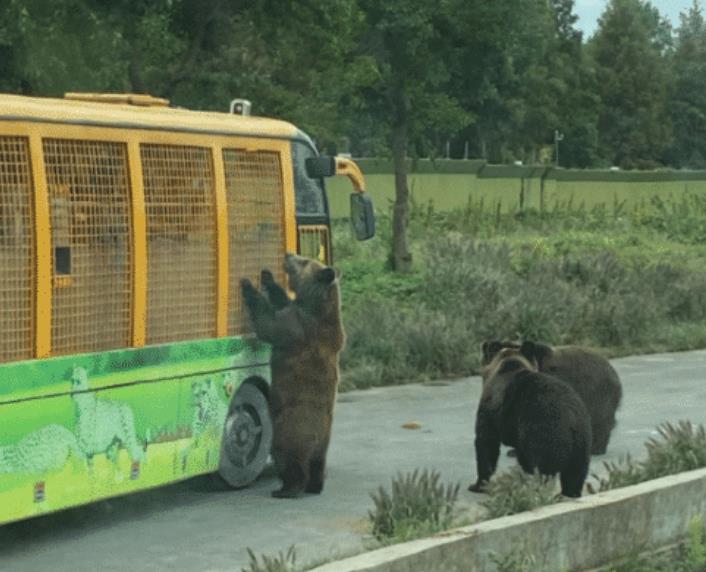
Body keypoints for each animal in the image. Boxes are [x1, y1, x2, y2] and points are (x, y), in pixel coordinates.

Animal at [239, 252, 344, 498]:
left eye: (304, 260)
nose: (288, 254)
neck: (317, 305)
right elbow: (282, 301)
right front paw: (268, 278)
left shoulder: (299, 327)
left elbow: (270, 324)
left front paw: (248, 286)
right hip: (323, 441)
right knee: (318, 463)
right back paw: (315, 485)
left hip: (291, 429)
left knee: (289, 459)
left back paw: (286, 489)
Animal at [470, 342, 592, 498]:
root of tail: (571, 420)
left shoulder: (492, 410)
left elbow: (486, 443)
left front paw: (478, 484)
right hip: (582, 443)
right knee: (575, 474)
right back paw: (569, 493)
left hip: (543, 430)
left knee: (542, 469)